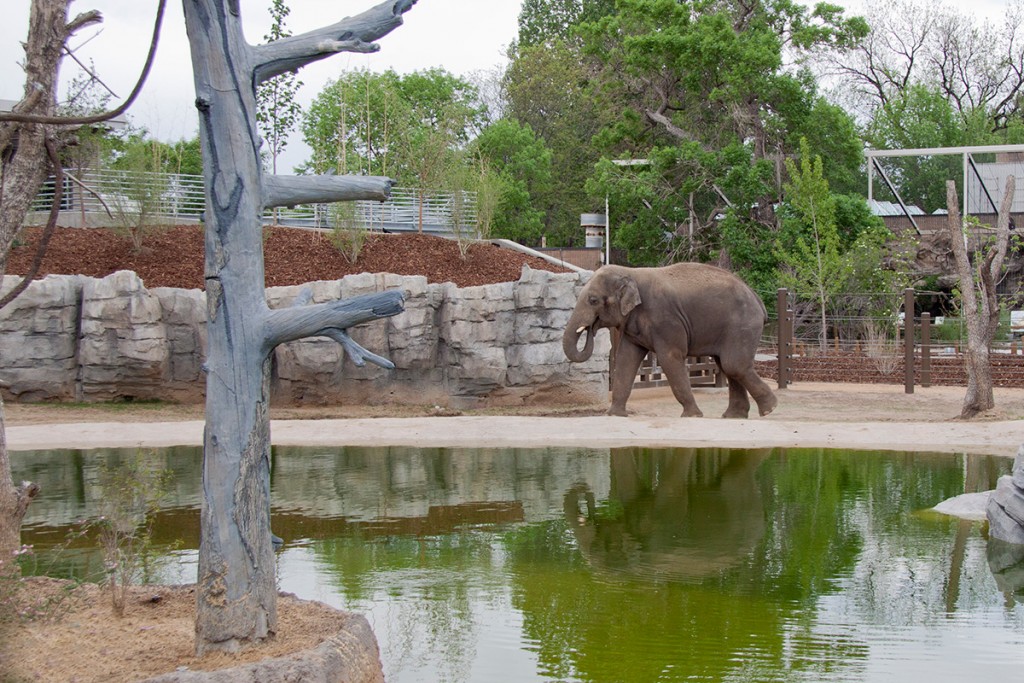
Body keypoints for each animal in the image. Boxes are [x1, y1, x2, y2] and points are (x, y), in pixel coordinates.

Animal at [561, 264, 774, 419]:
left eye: (593, 300)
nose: (590, 328)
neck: (631, 272)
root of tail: (758, 300)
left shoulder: (665, 320)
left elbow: (669, 358)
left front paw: (692, 416)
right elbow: (626, 360)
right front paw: (615, 415)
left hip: (742, 325)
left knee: (733, 365)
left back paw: (769, 410)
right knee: (727, 366)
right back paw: (734, 417)